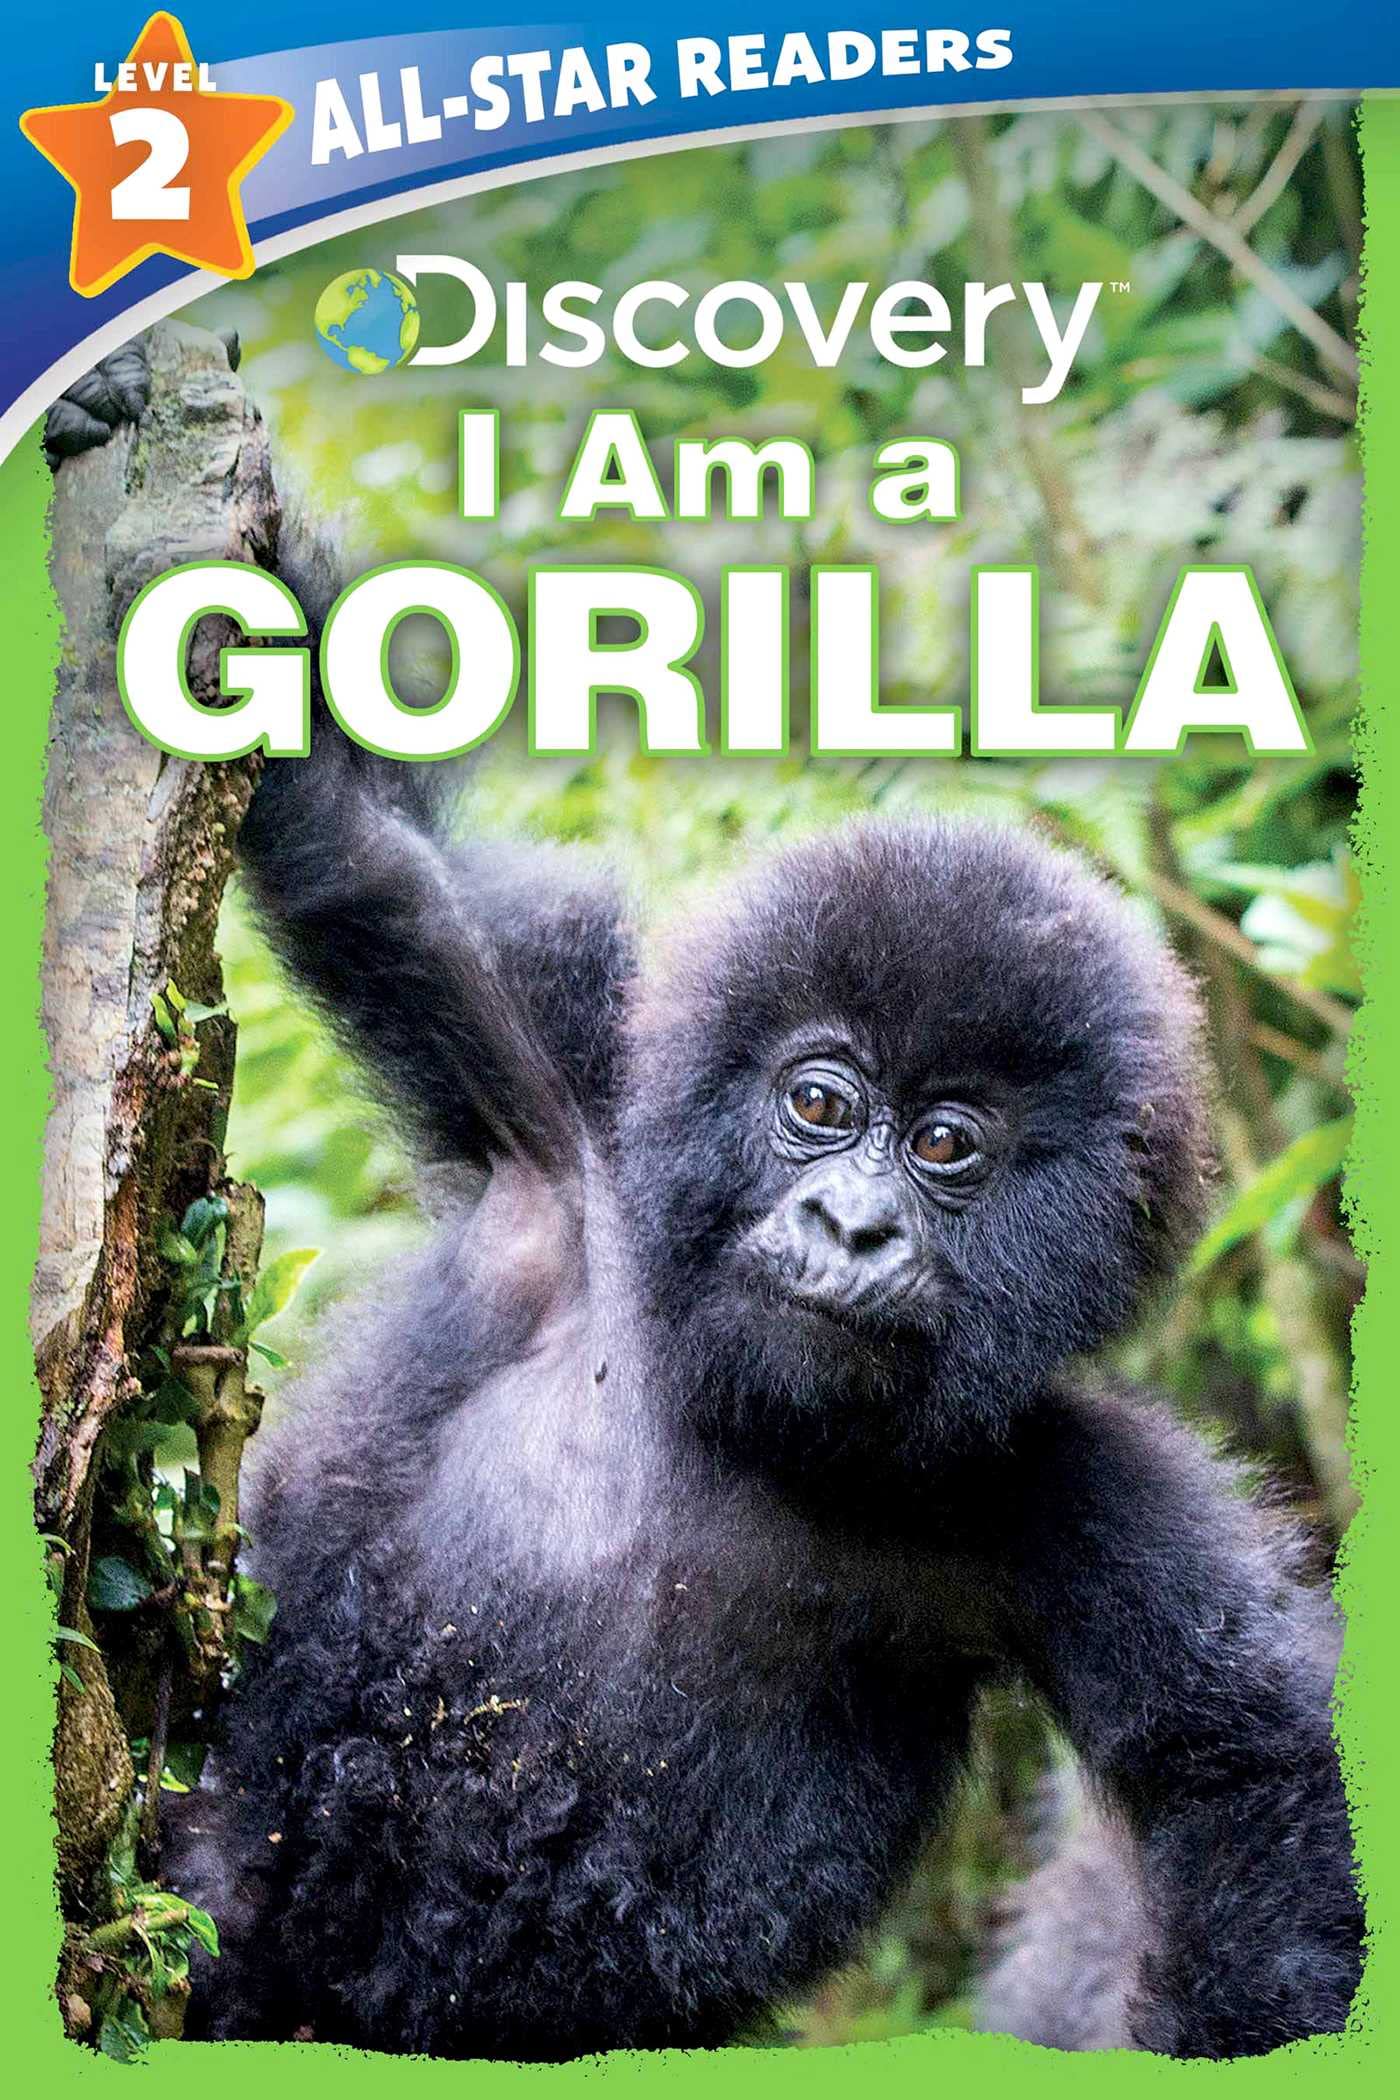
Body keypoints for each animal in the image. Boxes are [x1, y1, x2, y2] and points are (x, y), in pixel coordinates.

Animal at [45, 356, 1361, 2060]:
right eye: (821, 1106)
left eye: (949, 1146)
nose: (855, 1228)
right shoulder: (578, 1119)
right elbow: (369, 851)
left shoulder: (1067, 1488)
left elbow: (1251, 1783)